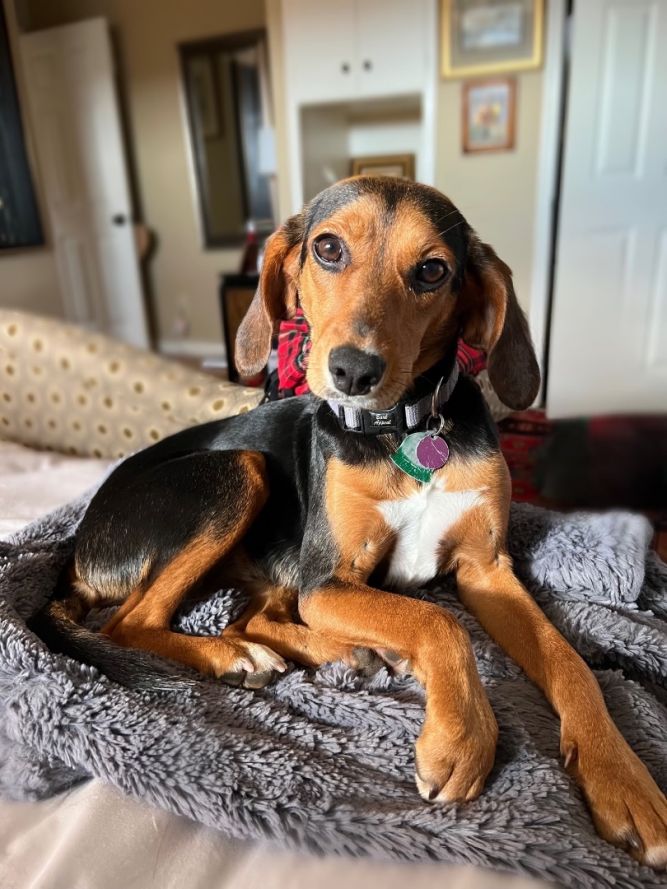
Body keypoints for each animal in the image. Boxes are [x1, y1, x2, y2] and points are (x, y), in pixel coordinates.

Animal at [35, 179, 667, 868]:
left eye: (433, 270)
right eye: (328, 248)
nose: (353, 372)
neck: (405, 429)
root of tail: (80, 545)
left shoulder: (486, 570)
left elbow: (569, 662)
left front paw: (624, 780)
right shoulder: (330, 579)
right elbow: (440, 621)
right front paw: (463, 734)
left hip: (273, 556)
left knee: (248, 617)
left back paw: (339, 651)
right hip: (241, 475)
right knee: (131, 624)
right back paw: (239, 658)